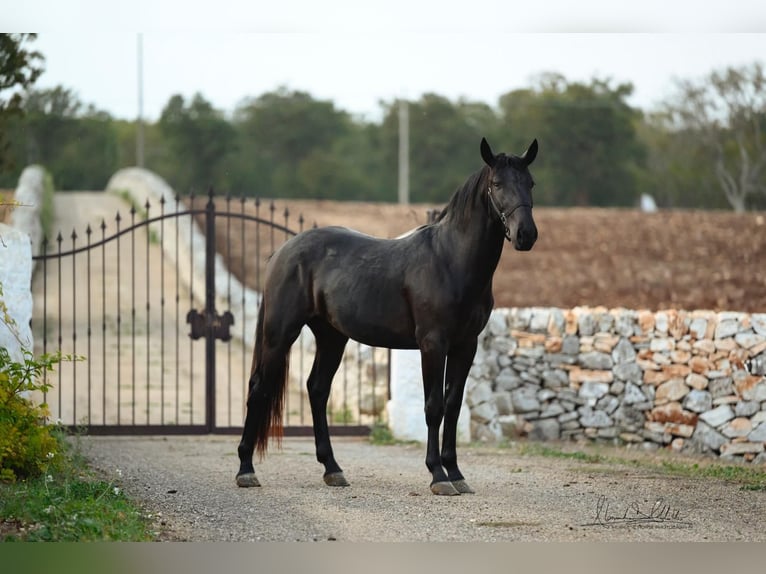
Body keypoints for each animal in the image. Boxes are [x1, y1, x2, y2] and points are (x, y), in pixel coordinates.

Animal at [236, 137, 540, 498]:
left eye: (530, 183)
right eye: (496, 184)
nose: (525, 235)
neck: (450, 260)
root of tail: (281, 252)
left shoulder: (466, 345)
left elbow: (453, 406)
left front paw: (456, 473)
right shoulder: (433, 344)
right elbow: (434, 406)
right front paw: (438, 475)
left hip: (331, 336)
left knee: (317, 389)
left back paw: (333, 469)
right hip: (280, 334)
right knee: (259, 388)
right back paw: (246, 469)